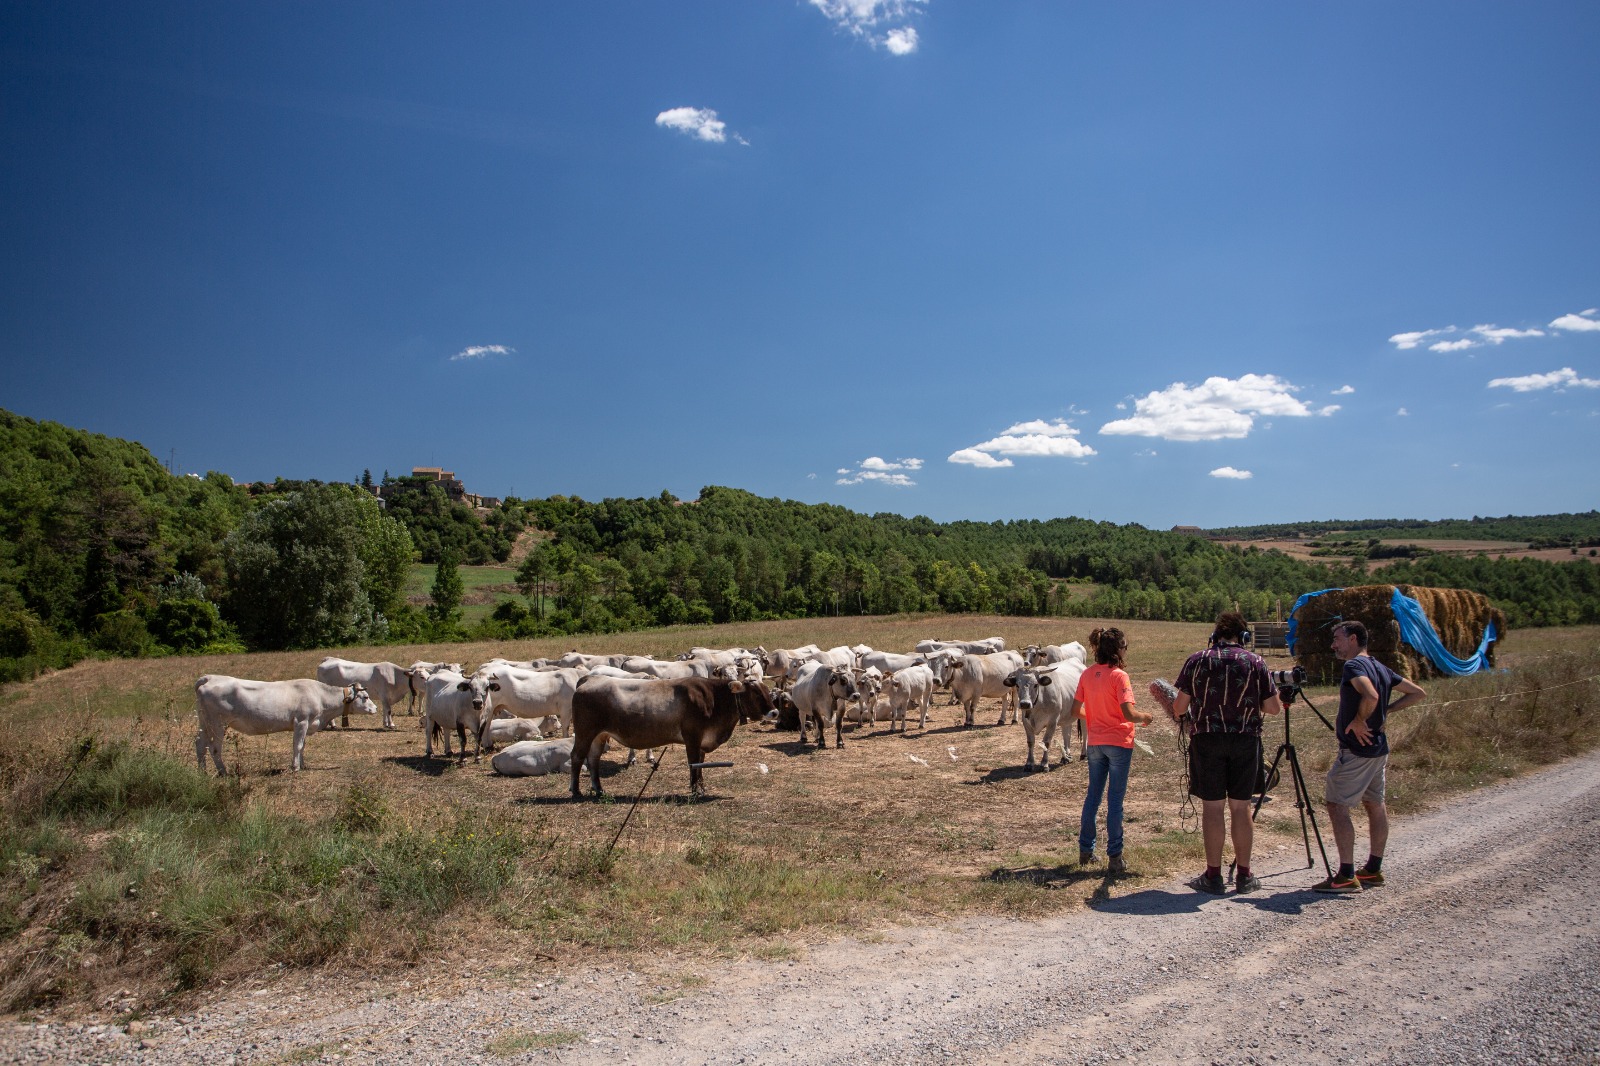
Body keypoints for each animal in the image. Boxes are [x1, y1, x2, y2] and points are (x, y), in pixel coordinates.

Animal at [194, 672, 377, 771]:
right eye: (365, 697)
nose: (375, 708)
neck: (320, 697)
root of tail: (210, 677)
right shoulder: (301, 721)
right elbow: (298, 745)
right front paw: (295, 767)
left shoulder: (306, 725)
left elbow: (302, 746)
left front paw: (302, 764)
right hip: (218, 724)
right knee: (214, 748)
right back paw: (223, 771)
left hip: (204, 722)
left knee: (200, 743)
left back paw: (202, 771)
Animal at [569, 675, 774, 793]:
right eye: (756, 693)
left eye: (767, 691)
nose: (774, 712)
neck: (714, 698)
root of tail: (590, 679)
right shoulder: (692, 737)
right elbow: (694, 763)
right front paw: (695, 790)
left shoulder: (702, 741)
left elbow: (701, 764)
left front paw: (701, 787)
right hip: (585, 732)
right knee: (577, 756)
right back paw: (576, 790)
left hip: (599, 735)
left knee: (593, 758)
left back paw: (599, 789)